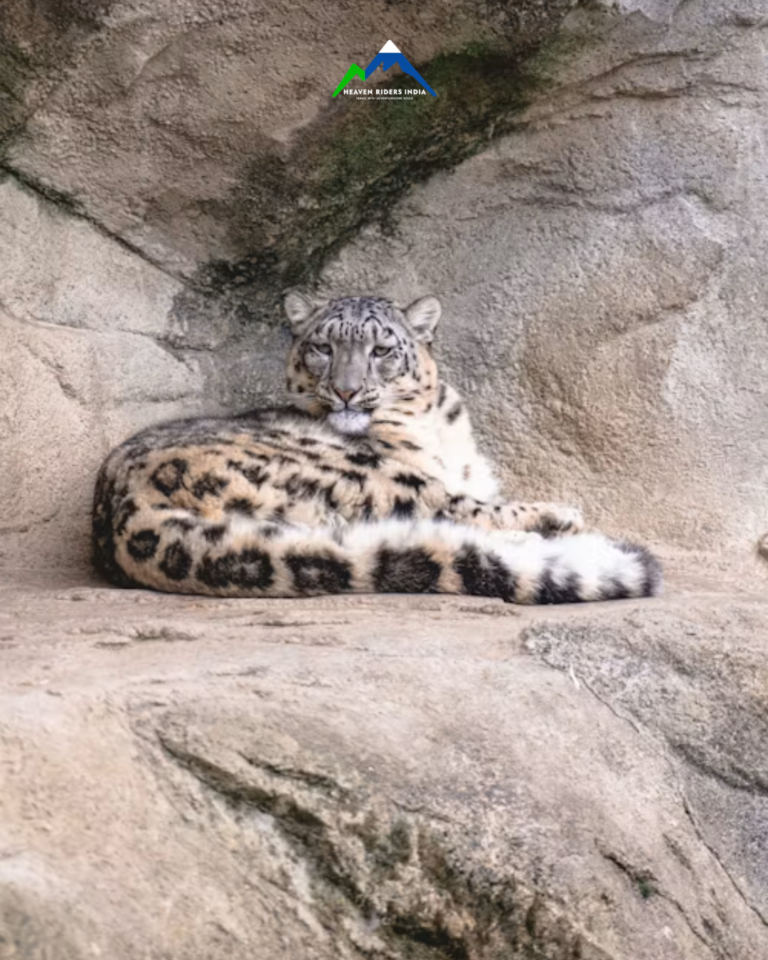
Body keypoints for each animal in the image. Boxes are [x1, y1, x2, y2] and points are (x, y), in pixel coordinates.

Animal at [92, 293, 662, 603]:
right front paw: (557, 513)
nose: (346, 390)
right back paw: (554, 526)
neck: (438, 426)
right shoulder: (424, 476)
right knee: (452, 514)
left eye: (382, 349)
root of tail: (123, 517)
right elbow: (481, 503)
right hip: (363, 471)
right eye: (322, 347)